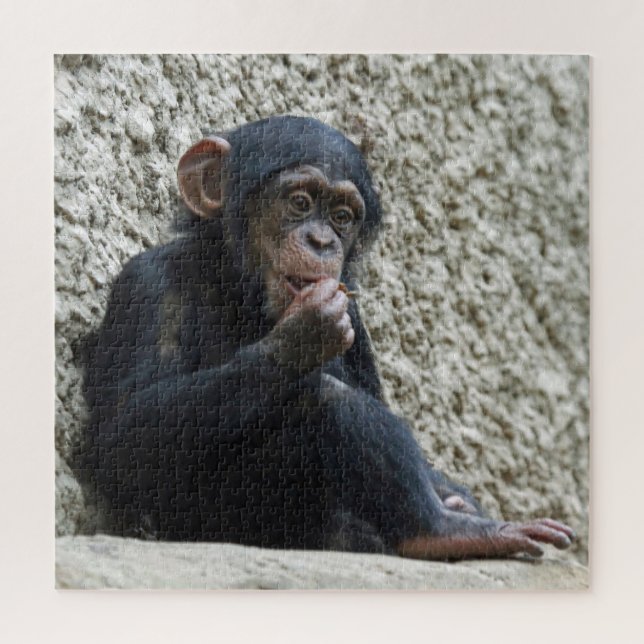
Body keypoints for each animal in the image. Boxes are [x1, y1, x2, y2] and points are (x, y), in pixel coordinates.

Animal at [80, 115, 574, 559]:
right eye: (299, 201)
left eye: (342, 217)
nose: (322, 241)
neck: (241, 290)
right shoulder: (147, 284)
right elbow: (125, 437)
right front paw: (302, 337)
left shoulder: (354, 310)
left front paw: (458, 494)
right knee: (323, 397)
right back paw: (443, 530)